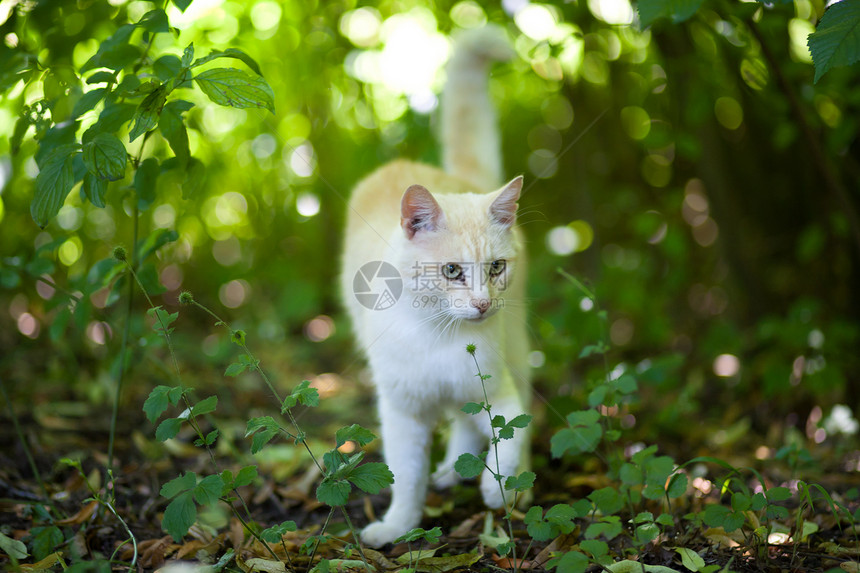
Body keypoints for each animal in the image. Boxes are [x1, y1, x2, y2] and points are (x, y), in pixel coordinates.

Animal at [338, 26, 528, 544]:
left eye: (496, 267)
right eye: (451, 272)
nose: (482, 304)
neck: (437, 335)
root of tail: (454, 179)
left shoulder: (499, 393)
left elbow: (512, 439)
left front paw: (496, 493)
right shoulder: (401, 413)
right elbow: (405, 476)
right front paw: (398, 528)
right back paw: (447, 472)